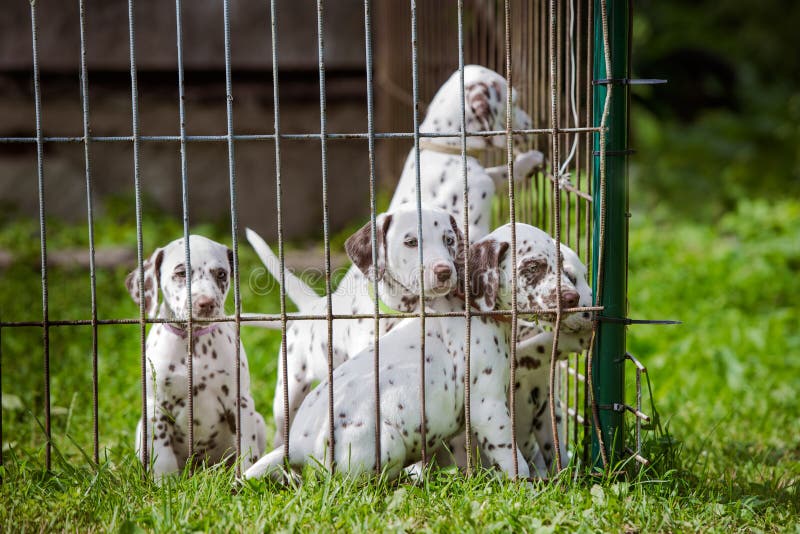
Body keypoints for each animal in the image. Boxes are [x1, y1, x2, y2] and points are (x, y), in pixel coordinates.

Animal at [126, 237, 268, 480]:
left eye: (221, 274)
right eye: (181, 273)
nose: (206, 303)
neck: (194, 344)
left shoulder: (239, 401)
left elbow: (246, 448)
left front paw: (245, 478)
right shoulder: (156, 408)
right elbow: (162, 455)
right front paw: (165, 484)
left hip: (258, 420)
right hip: (140, 429)